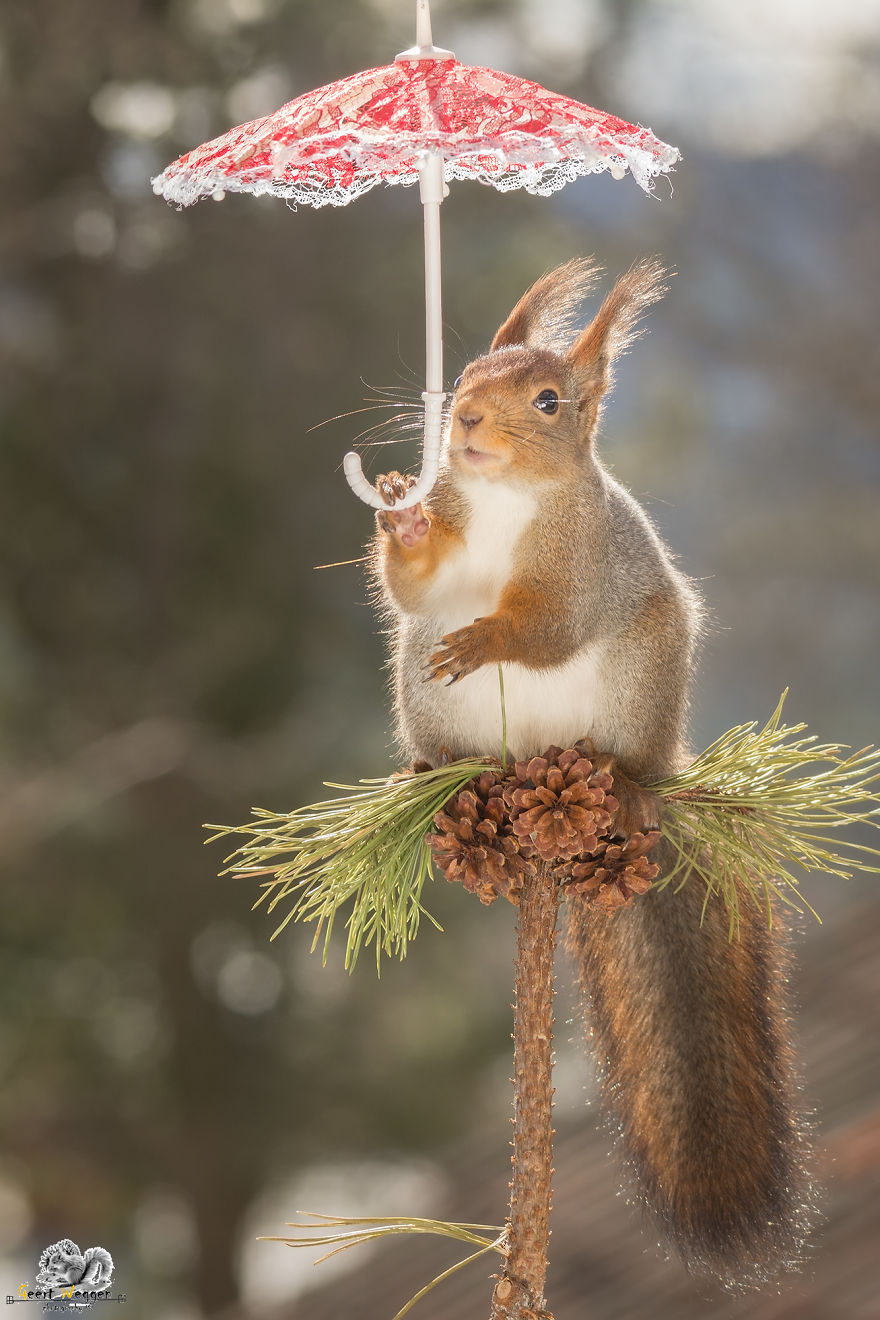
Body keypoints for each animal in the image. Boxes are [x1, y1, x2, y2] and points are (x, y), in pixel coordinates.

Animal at [370, 258, 814, 1286]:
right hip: (421, 684)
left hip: (640, 676)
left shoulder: (582, 565)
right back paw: (432, 773)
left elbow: (547, 625)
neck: (505, 501)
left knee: (623, 748)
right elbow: (415, 586)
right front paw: (403, 511)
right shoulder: (443, 560)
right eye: (466, 372)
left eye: (548, 401)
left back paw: (621, 776)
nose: (465, 420)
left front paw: (489, 635)